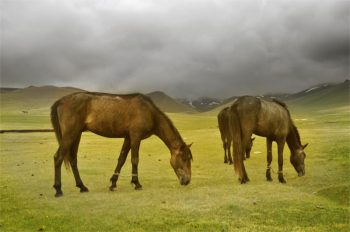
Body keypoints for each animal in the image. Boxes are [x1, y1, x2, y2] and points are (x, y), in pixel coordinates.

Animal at [50, 91, 193, 197]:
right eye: (184, 158)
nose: (187, 181)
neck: (150, 112)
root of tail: (61, 101)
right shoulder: (135, 137)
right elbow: (134, 159)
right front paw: (136, 183)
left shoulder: (128, 138)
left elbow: (122, 159)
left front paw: (113, 184)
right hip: (70, 134)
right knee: (58, 157)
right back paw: (58, 190)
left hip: (77, 134)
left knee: (73, 159)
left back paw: (82, 186)